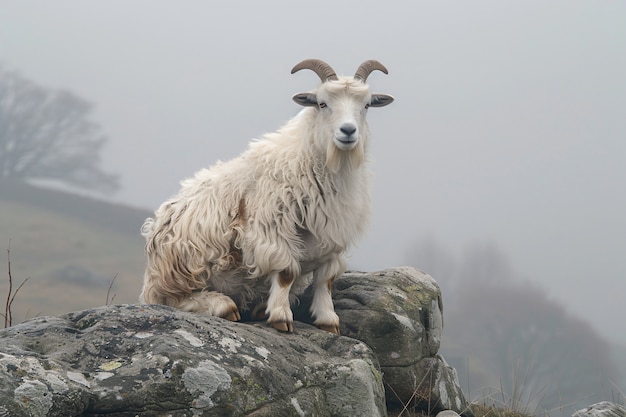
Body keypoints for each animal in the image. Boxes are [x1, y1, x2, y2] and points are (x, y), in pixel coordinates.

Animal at [141, 57, 390, 332]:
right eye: (323, 103)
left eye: (366, 105)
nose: (347, 131)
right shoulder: (274, 228)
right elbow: (286, 273)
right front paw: (281, 316)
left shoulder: (333, 235)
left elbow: (326, 280)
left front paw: (328, 320)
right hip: (183, 265)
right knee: (172, 300)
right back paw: (223, 305)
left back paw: (258, 307)